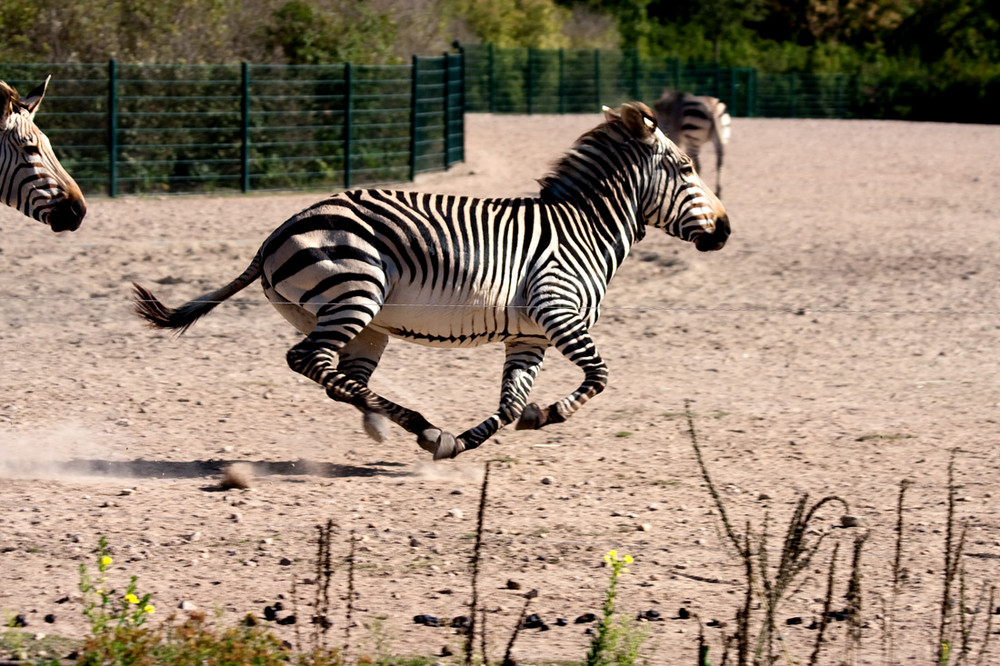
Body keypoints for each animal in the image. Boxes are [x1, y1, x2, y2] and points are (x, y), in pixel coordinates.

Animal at [133, 101, 732, 460]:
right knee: (310, 362)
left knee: (338, 377)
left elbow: (510, 403)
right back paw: (415, 424)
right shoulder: (557, 311)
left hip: (359, 322)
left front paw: (470, 439)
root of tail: (277, 232)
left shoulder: (529, 335)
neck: (583, 229)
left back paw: (408, 427)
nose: (725, 231)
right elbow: (601, 376)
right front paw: (546, 415)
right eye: (685, 169)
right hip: (354, 293)